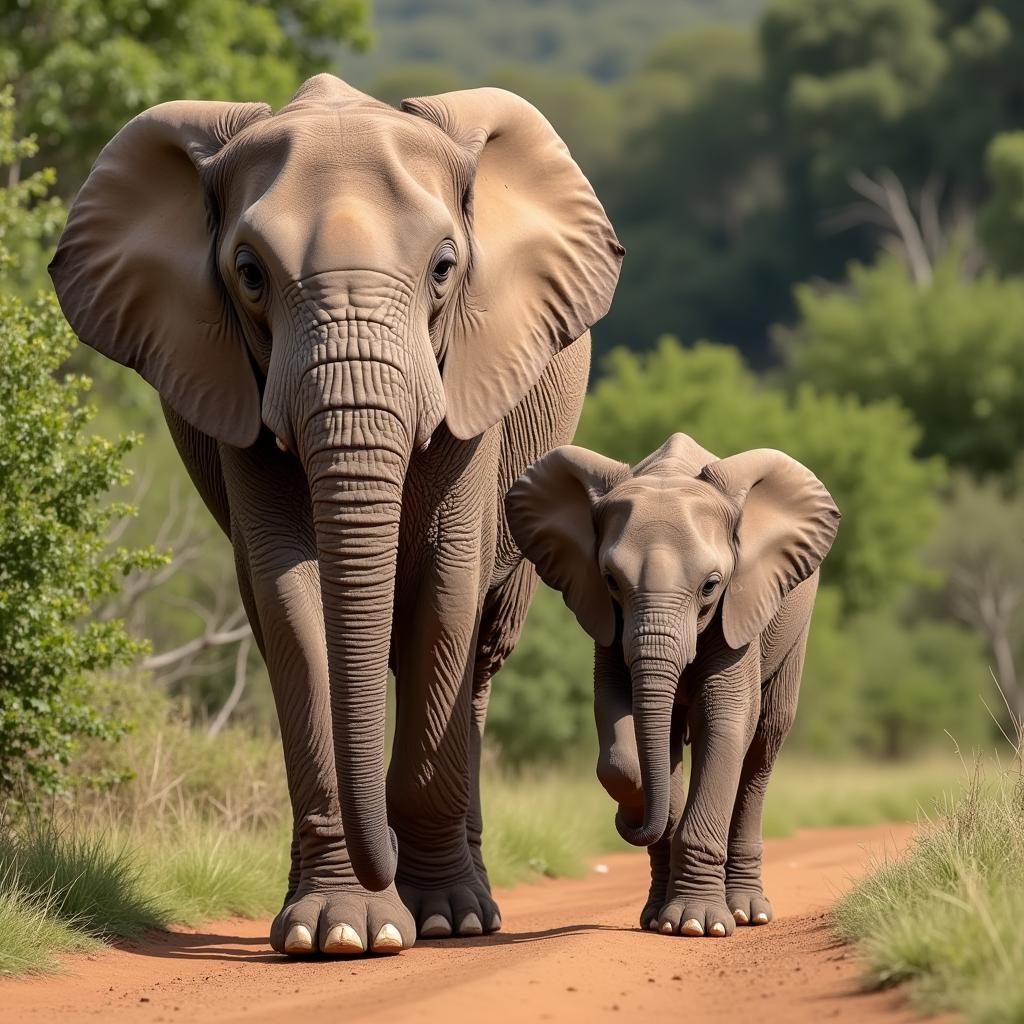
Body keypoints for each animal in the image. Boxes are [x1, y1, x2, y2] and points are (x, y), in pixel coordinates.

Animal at [49, 75, 622, 954]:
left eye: (445, 268)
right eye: (249, 274)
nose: (378, 852)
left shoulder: (472, 381)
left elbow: (447, 591)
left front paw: (437, 920)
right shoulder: (238, 390)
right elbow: (290, 602)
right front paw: (343, 933)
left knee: (482, 651)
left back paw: (469, 912)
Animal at [505, 432, 839, 937]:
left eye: (711, 586)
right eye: (611, 580)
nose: (628, 819)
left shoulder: (739, 609)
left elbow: (725, 719)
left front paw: (699, 925)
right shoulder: (605, 618)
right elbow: (616, 720)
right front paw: (646, 804)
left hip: (793, 625)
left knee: (764, 742)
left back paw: (746, 913)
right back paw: (653, 915)